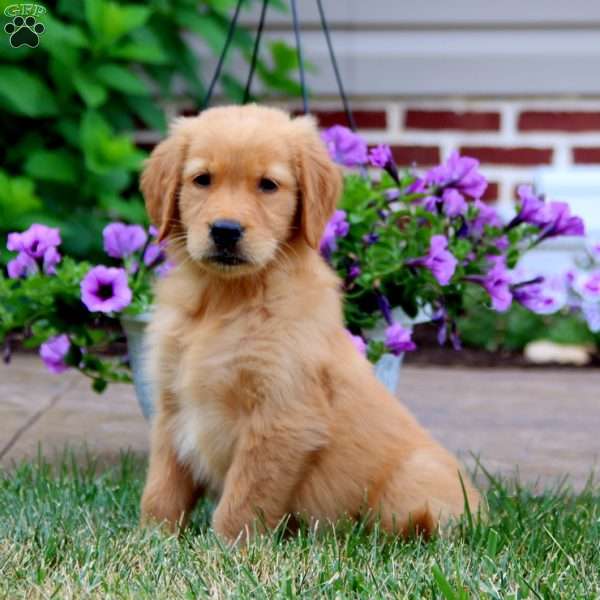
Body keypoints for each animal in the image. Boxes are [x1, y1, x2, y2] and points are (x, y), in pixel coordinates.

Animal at [138, 105, 480, 540]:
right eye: (202, 179)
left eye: (268, 185)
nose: (225, 231)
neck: (226, 299)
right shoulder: (170, 405)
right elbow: (161, 488)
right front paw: (152, 539)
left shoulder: (281, 416)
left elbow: (244, 497)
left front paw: (227, 547)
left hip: (414, 478)